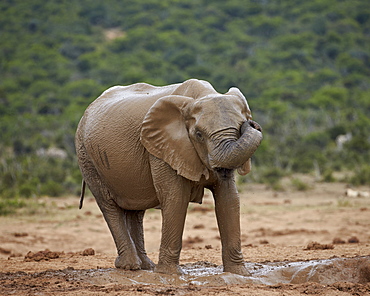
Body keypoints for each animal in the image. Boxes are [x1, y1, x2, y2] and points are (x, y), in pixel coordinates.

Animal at [73, 78, 262, 276]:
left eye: (240, 126)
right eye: (199, 135)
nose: (252, 124)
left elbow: (229, 199)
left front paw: (239, 274)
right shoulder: (161, 148)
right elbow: (176, 198)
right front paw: (169, 274)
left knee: (136, 210)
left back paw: (146, 266)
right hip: (86, 156)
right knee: (109, 205)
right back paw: (130, 266)